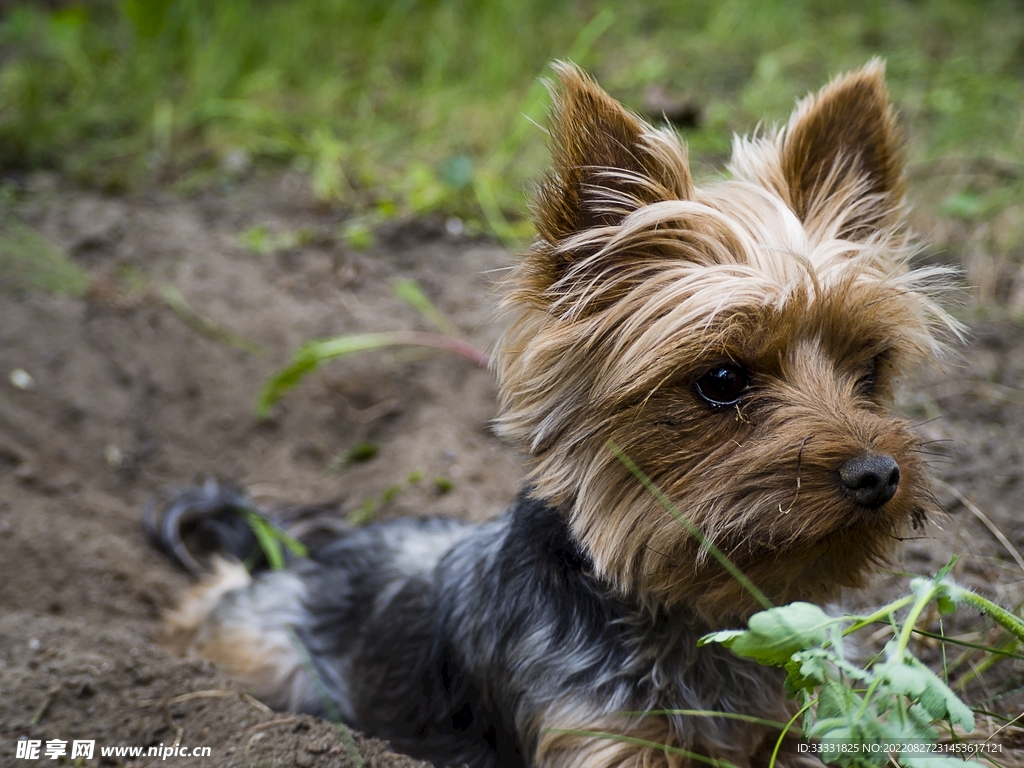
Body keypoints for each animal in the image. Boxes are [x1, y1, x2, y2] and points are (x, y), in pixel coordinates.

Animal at [148, 61, 954, 768]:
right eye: (722, 380)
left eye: (870, 368)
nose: (878, 474)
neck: (699, 619)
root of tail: (302, 553)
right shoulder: (596, 736)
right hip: (260, 645)